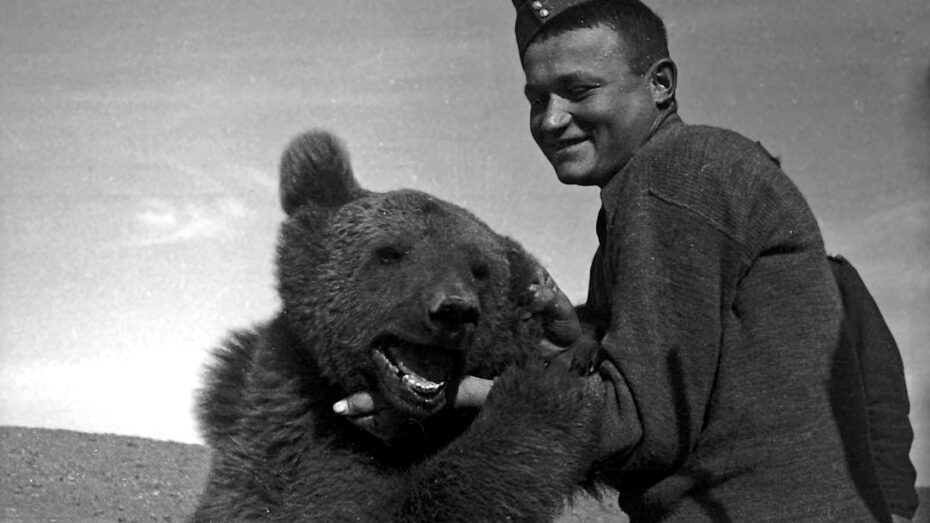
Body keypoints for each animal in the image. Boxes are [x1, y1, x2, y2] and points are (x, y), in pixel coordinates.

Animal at [191, 130, 602, 522]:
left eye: (479, 269)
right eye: (390, 253)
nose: (454, 310)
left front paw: (564, 340)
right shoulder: (297, 432)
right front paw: (543, 388)